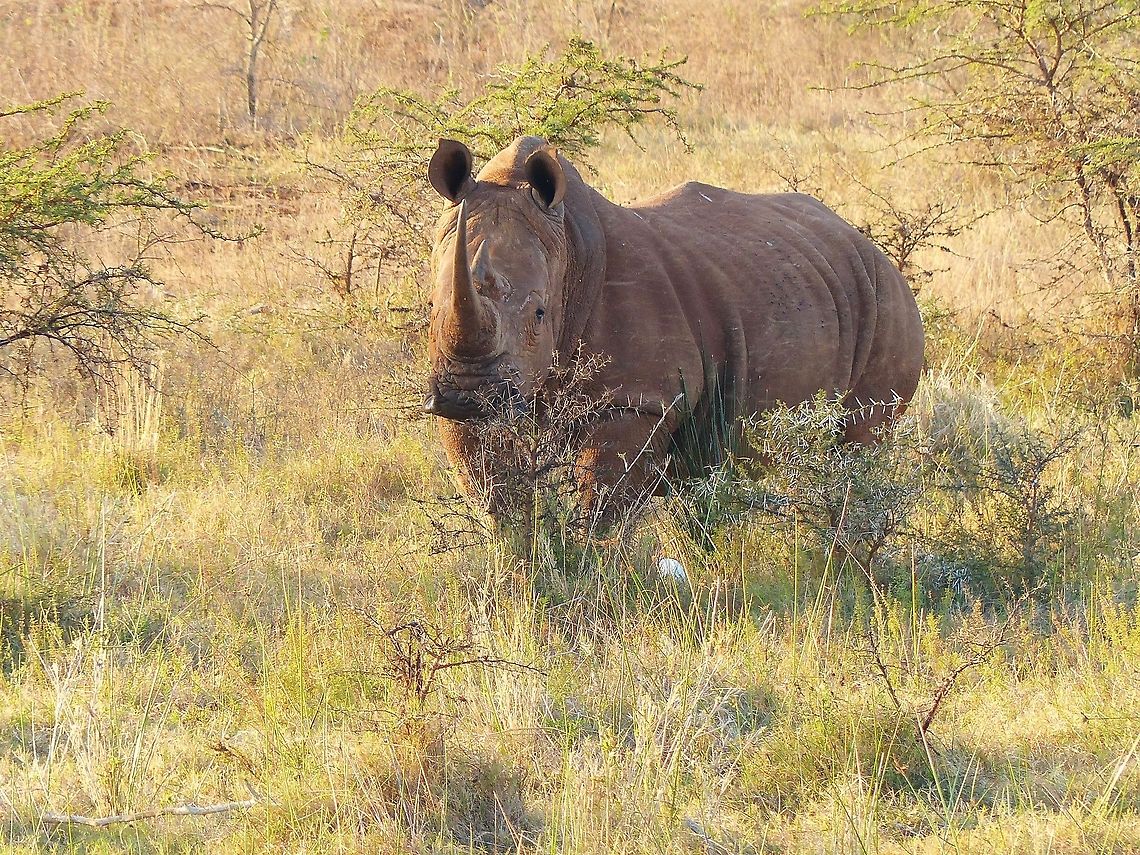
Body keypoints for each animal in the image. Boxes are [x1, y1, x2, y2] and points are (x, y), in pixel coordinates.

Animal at [423, 136, 924, 518]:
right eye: (432, 306)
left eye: (540, 314)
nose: (467, 395)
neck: (567, 246)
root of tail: (867, 243)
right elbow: (494, 498)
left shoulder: (636, 400)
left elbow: (602, 504)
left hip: (885, 301)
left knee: (858, 445)